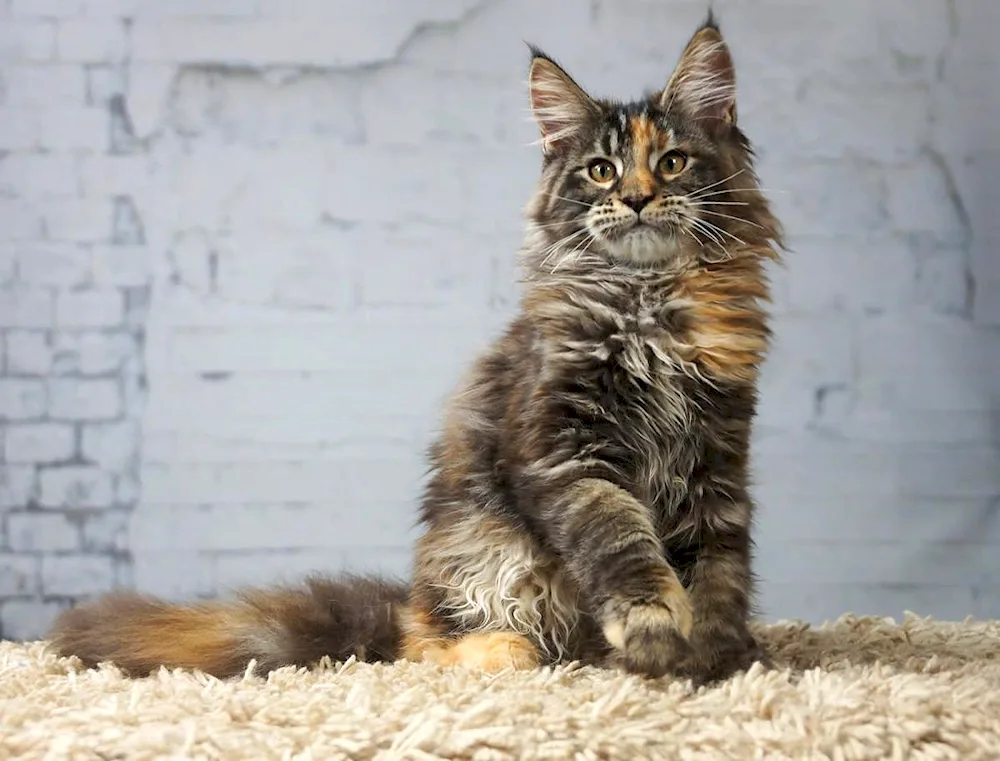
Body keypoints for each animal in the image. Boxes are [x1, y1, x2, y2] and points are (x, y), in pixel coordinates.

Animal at [48, 13, 780, 684]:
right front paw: (654, 629)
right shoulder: (568, 448)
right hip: (484, 546)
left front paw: (715, 656)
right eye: (601, 171)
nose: (634, 198)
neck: (650, 304)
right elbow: (622, 539)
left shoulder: (716, 451)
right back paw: (509, 652)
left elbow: (718, 565)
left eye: (672, 162)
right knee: (422, 642)